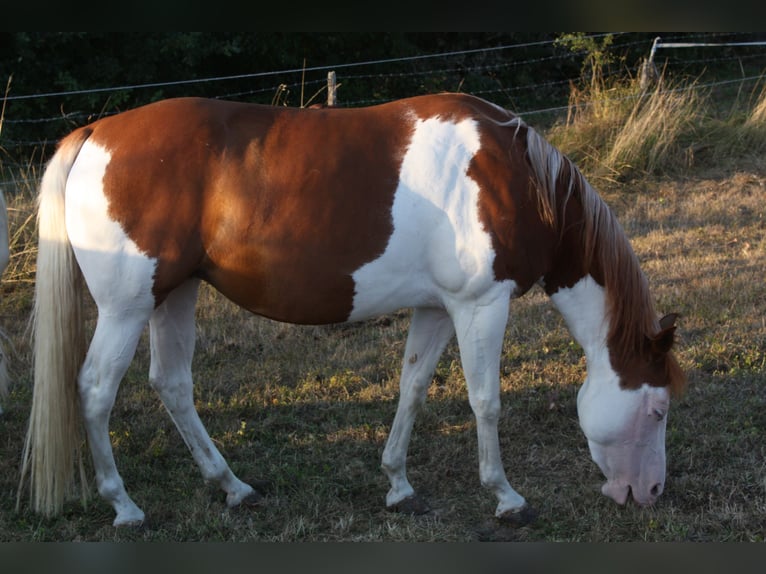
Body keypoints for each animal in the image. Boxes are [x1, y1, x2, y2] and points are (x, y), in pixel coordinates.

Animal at [18, 92, 685, 527]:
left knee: (173, 385)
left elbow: (413, 388)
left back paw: (233, 487)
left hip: (172, 295)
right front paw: (506, 498)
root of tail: (94, 134)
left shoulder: (439, 308)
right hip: (127, 307)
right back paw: (125, 506)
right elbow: (485, 403)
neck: (518, 178)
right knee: (95, 390)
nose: (651, 491)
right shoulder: (482, 305)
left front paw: (399, 485)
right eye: (657, 410)